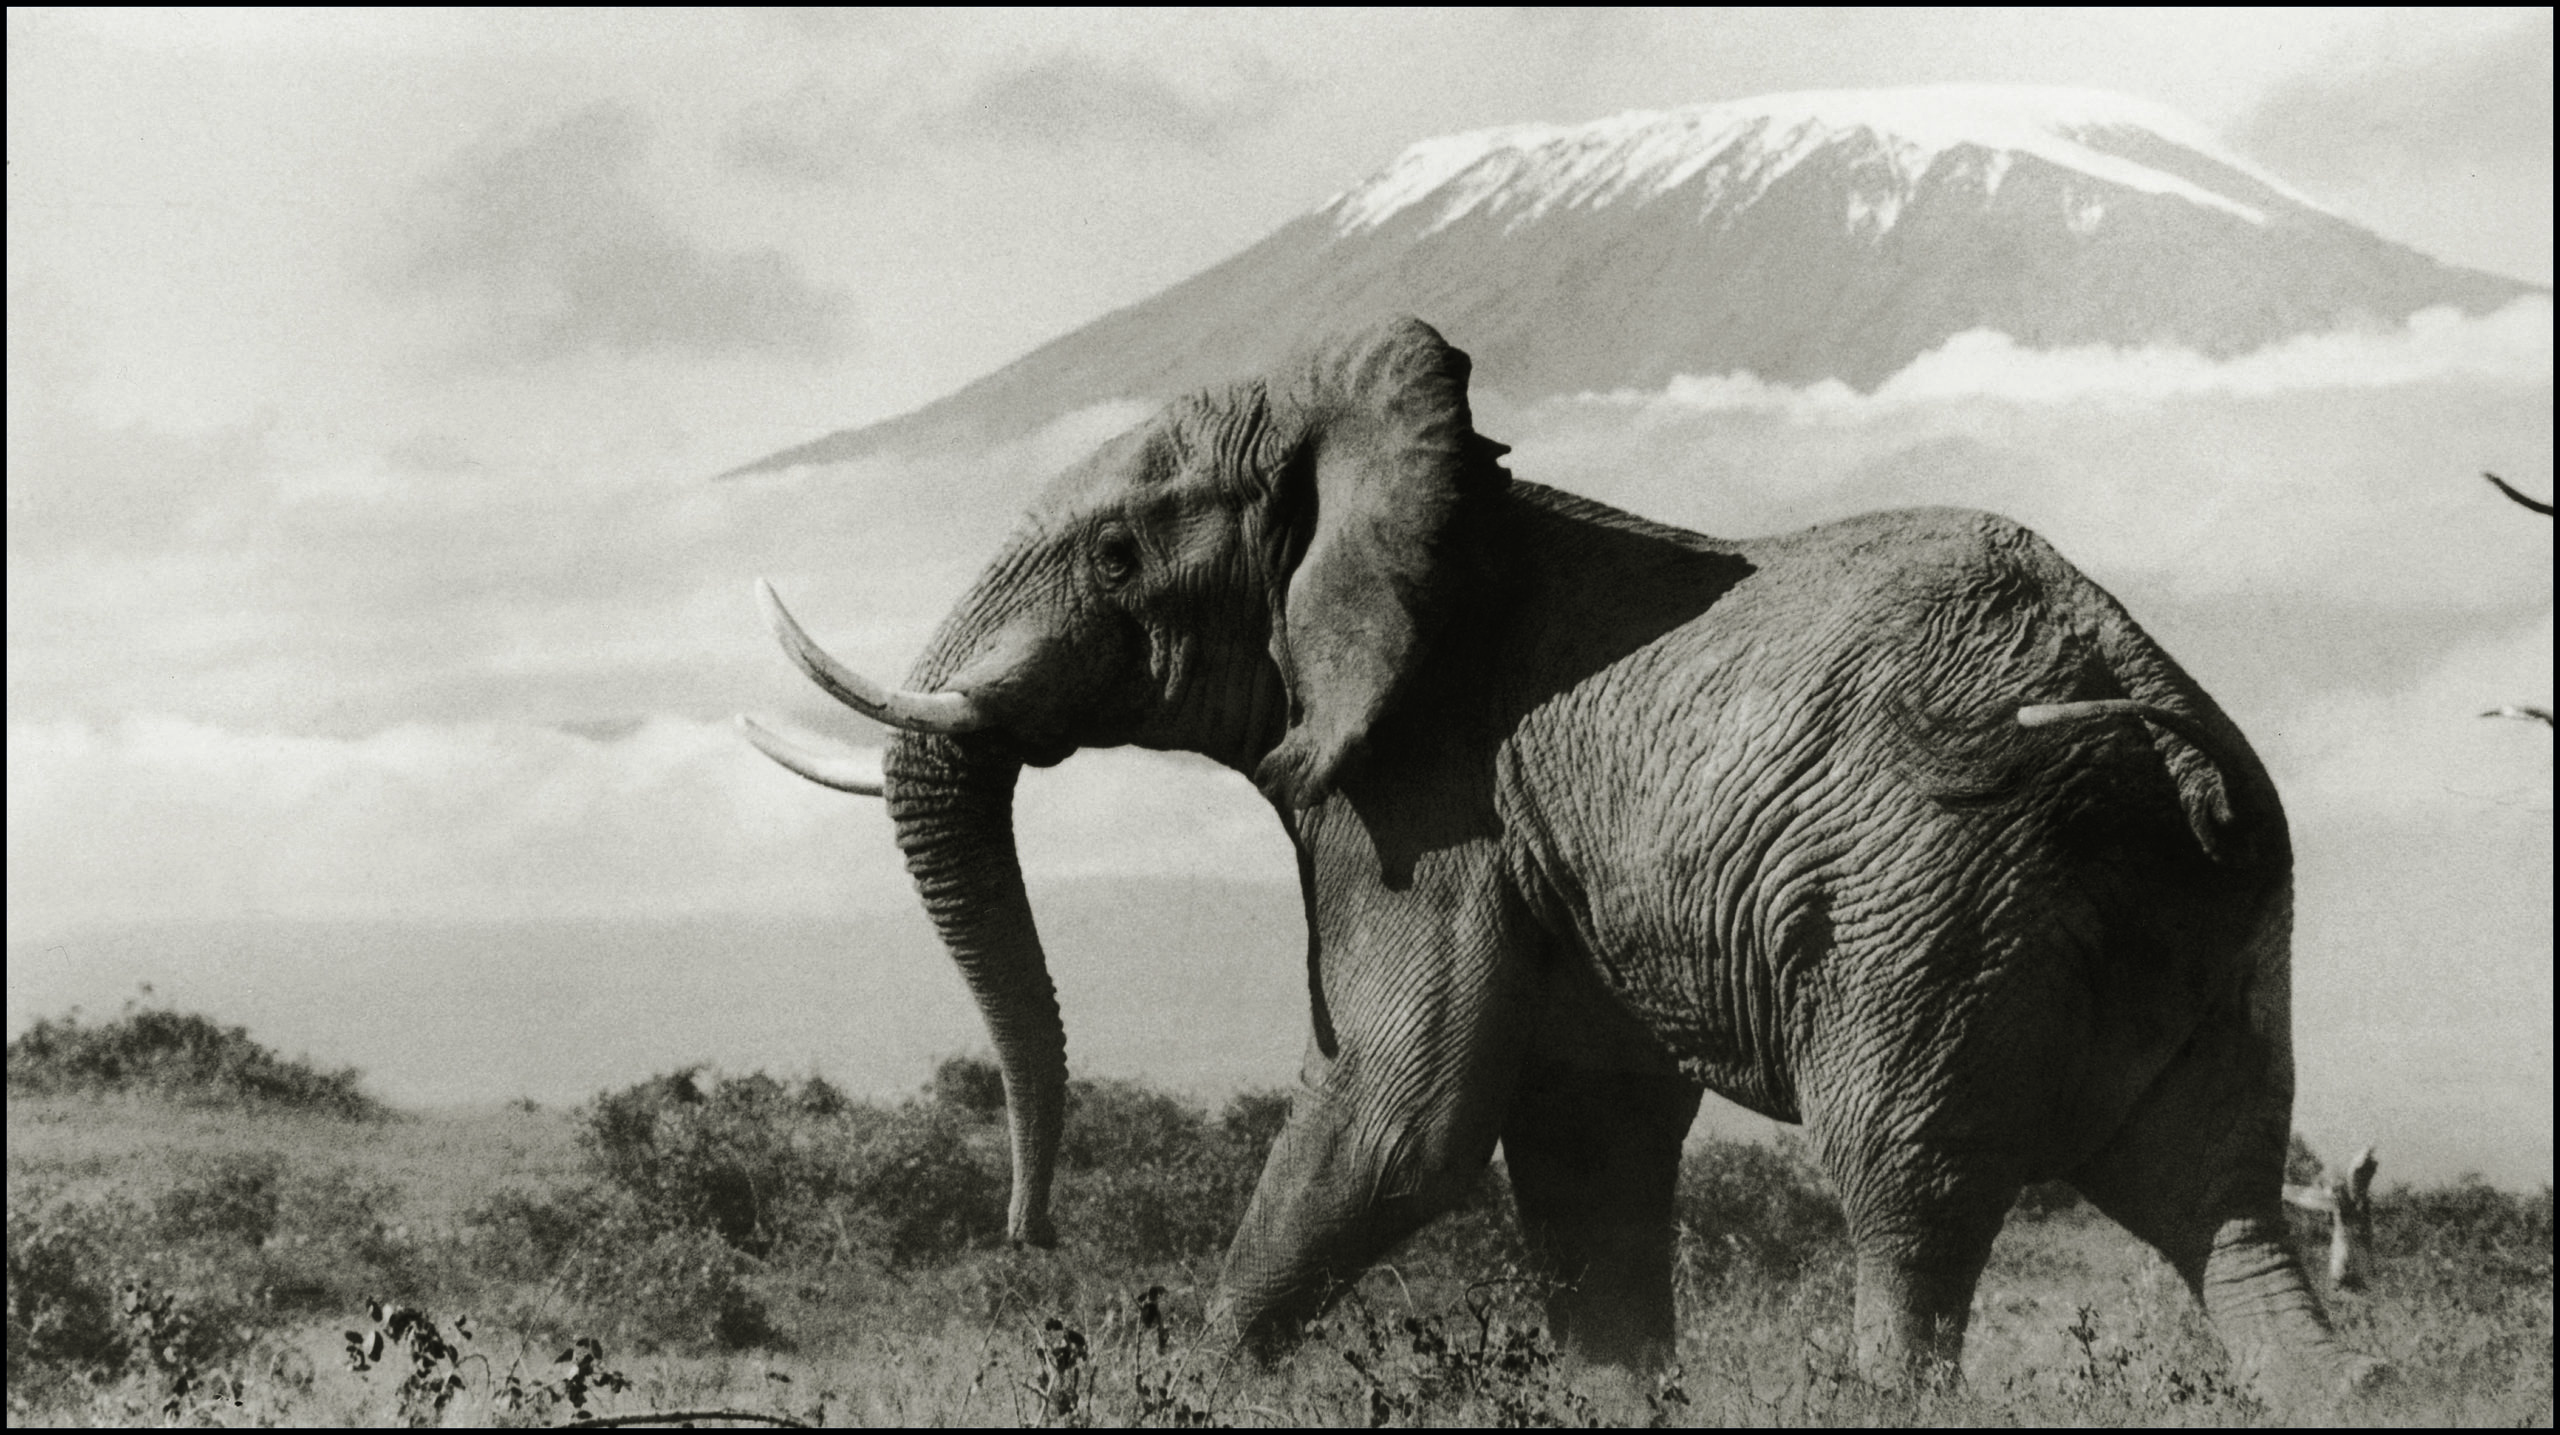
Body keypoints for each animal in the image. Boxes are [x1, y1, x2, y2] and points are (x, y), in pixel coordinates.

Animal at [742, 318, 2375, 1391]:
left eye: (1116, 558)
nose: (1029, 1234)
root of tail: (2149, 718)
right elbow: (1588, 1147)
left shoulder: (1430, 795)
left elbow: (1399, 1118)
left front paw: (1193, 1383)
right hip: (2218, 907)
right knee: (2220, 1197)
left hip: (1937, 894)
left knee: (1907, 1193)